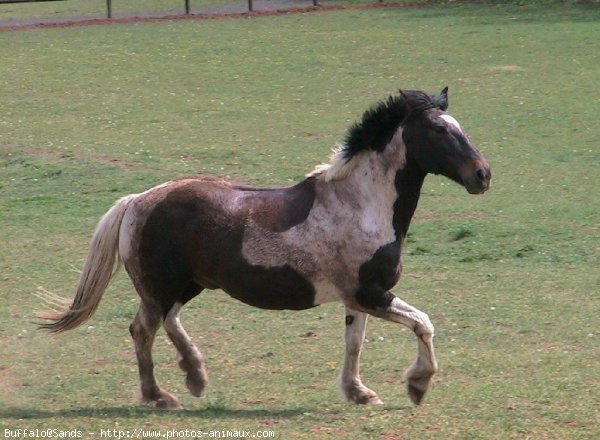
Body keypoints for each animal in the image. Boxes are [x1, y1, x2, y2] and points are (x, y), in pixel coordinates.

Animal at [39, 87, 492, 410]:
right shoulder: (371, 293)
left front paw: (359, 392)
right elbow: (423, 323)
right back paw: (159, 395)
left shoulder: (358, 297)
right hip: (161, 287)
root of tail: (137, 201)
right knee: (143, 330)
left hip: (188, 285)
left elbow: (355, 344)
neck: (362, 203)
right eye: (440, 130)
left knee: (168, 322)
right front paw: (417, 384)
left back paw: (196, 376)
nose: (483, 175)